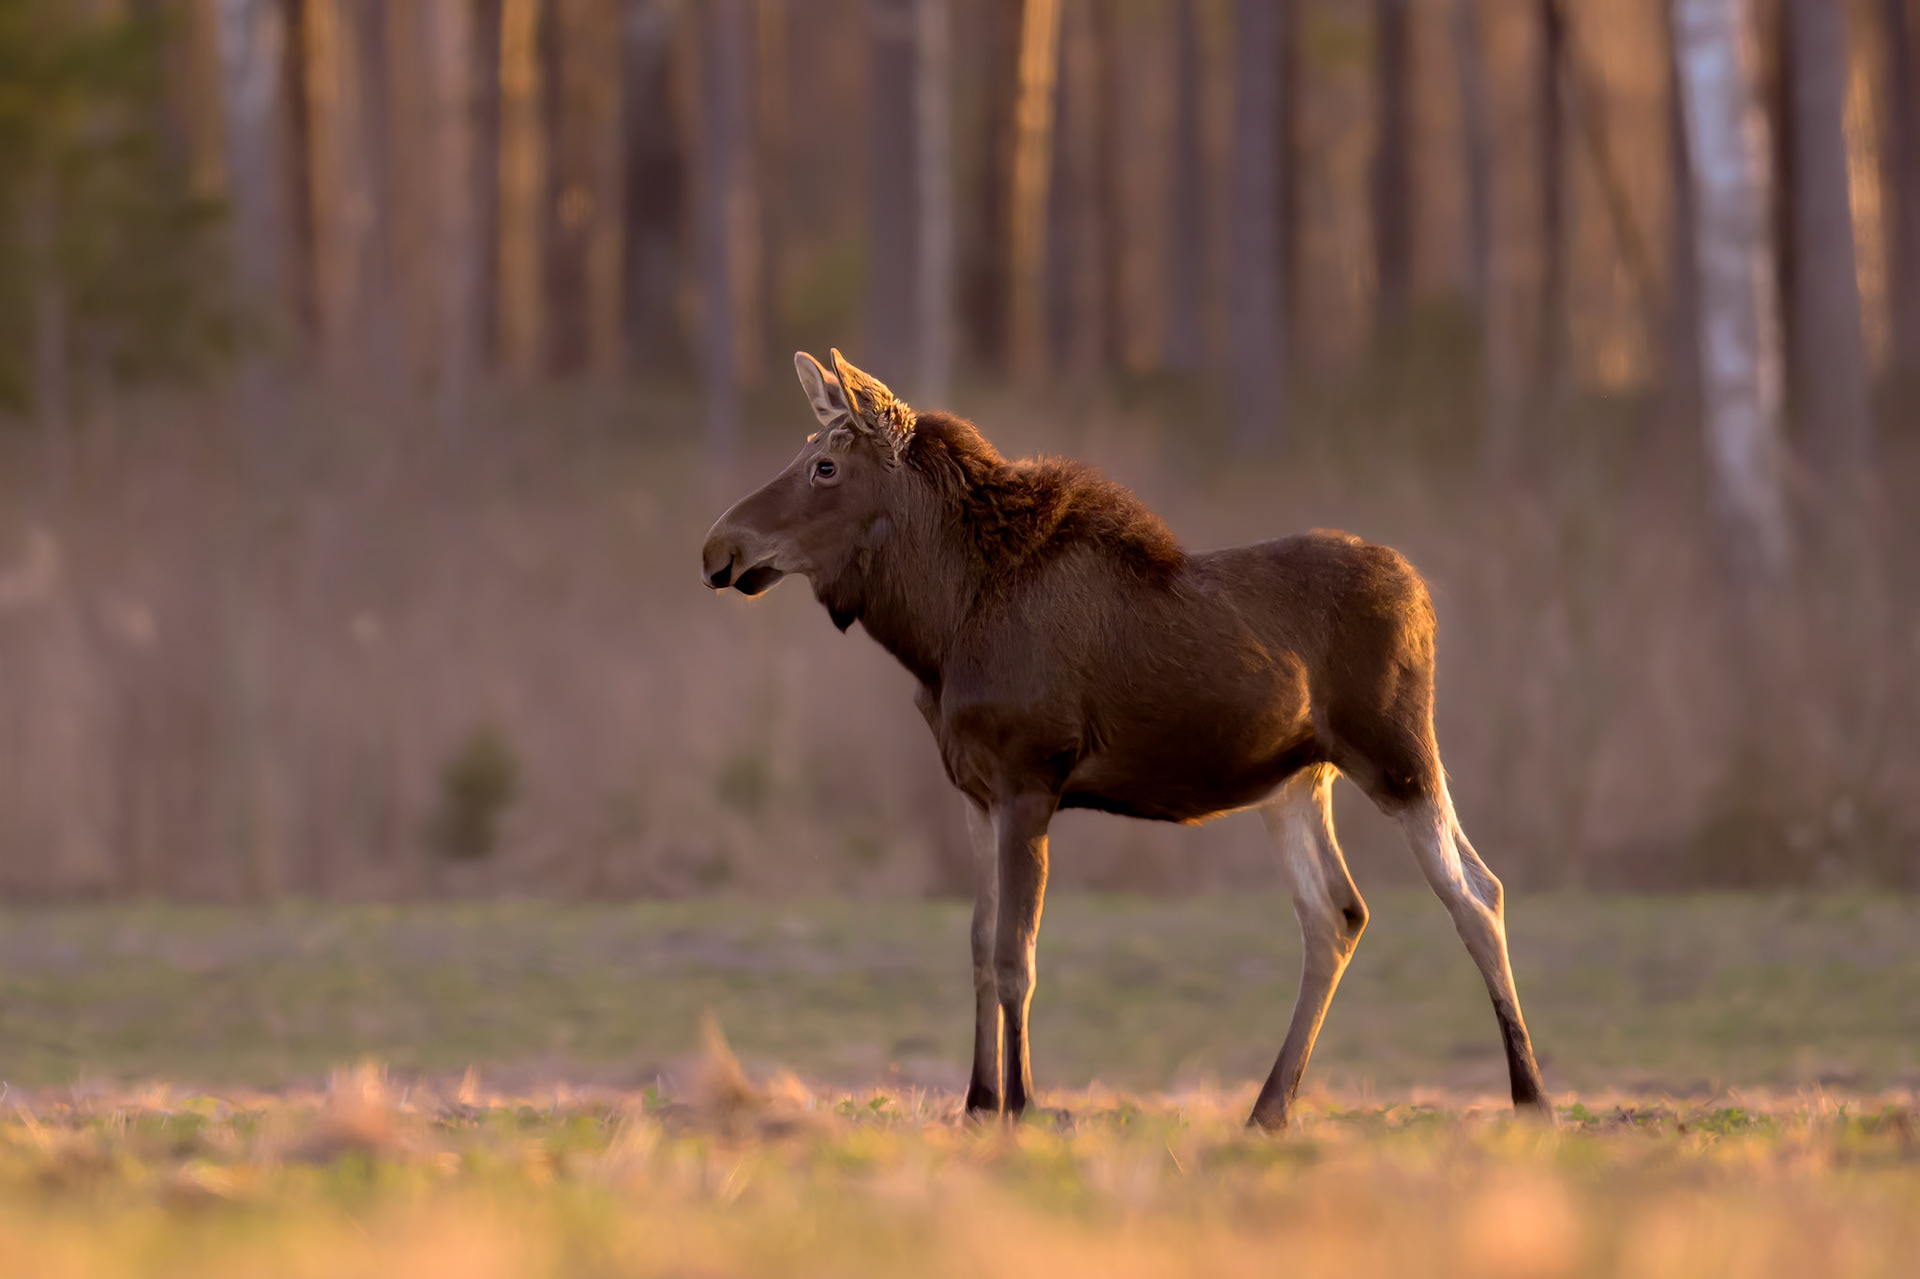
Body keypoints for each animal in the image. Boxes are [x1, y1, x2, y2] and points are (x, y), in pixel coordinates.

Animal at [700, 350, 1553, 1131]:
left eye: (824, 465)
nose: (718, 548)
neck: (939, 625)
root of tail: (1424, 595)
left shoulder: (1030, 777)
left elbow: (1015, 954)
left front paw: (1023, 1102)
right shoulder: (975, 791)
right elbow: (977, 946)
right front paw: (977, 1101)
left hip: (1397, 753)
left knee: (1475, 891)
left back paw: (1532, 1095)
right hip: (1297, 780)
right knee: (1335, 914)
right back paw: (1270, 1106)